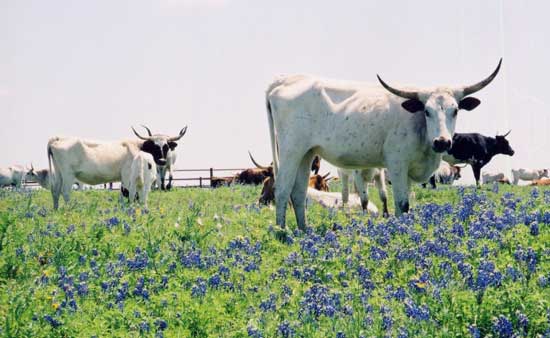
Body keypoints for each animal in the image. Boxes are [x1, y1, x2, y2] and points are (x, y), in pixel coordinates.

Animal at [268, 60, 504, 230]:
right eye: (427, 111)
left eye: (454, 110)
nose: (442, 142)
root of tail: (283, 81)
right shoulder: (397, 165)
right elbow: (402, 203)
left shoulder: (407, 172)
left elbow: (406, 205)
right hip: (290, 151)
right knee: (282, 189)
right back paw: (282, 232)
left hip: (306, 154)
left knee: (298, 193)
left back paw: (303, 230)